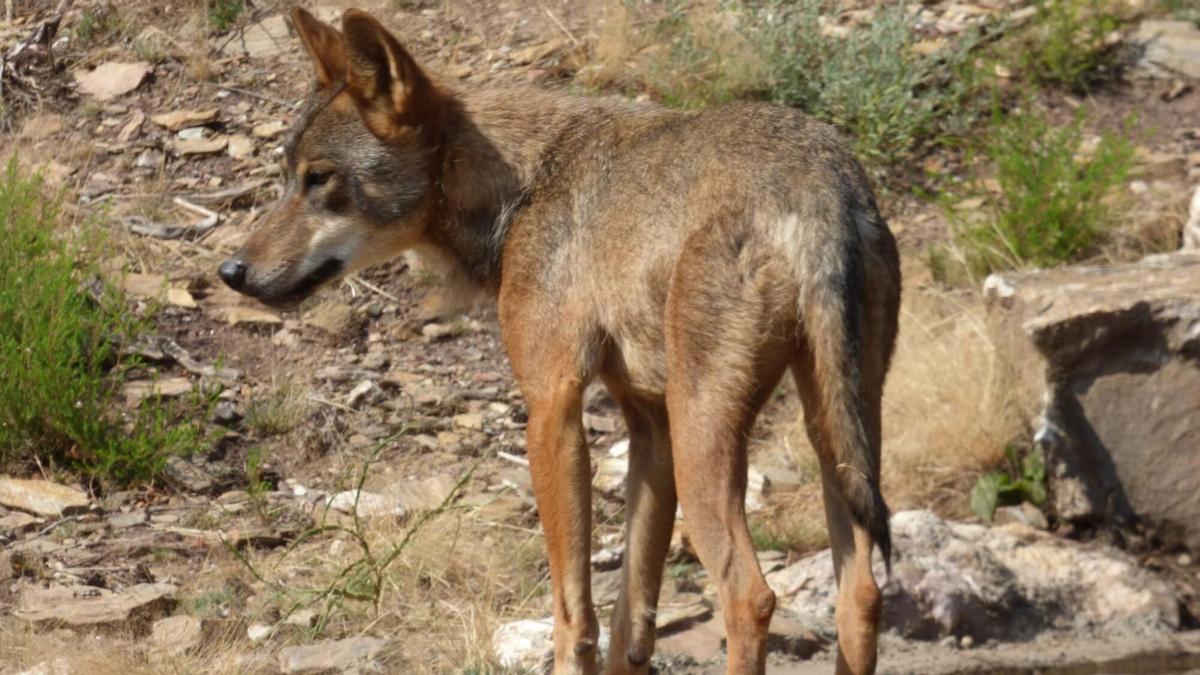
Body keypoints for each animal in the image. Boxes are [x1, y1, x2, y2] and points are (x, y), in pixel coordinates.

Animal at [218, 7, 901, 674]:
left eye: (320, 178)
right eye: (286, 178)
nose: (231, 271)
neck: (521, 187)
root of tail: (820, 188)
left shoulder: (552, 407)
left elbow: (574, 615)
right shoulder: (648, 427)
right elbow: (632, 620)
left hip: (707, 437)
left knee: (751, 595)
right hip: (836, 432)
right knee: (863, 594)